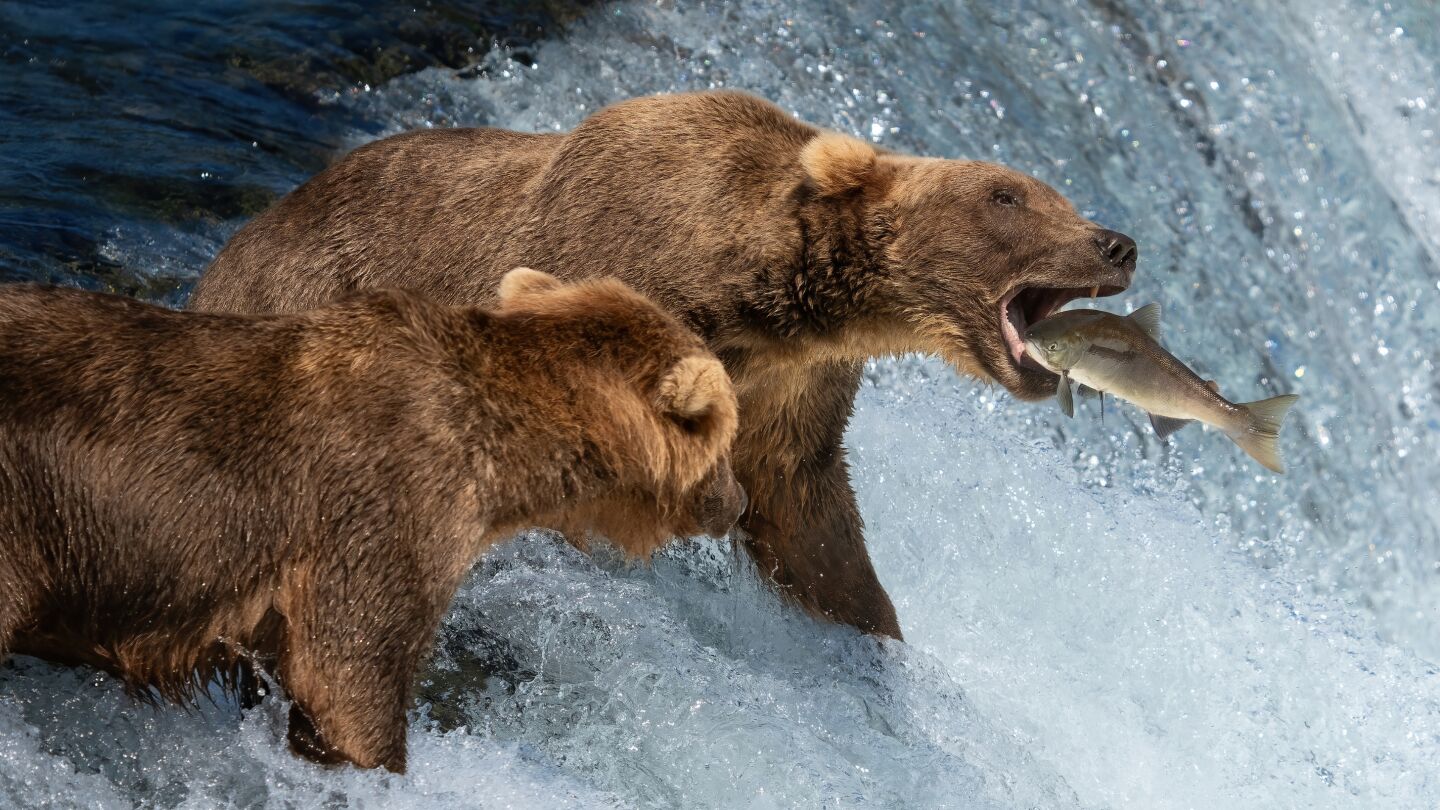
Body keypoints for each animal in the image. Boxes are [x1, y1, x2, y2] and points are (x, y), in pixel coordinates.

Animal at [189, 90, 1138, 640]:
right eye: (1008, 197)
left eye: (1051, 194)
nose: (1117, 242)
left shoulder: (793, 386)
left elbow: (808, 514)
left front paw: (870, 626)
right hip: (305, 293)